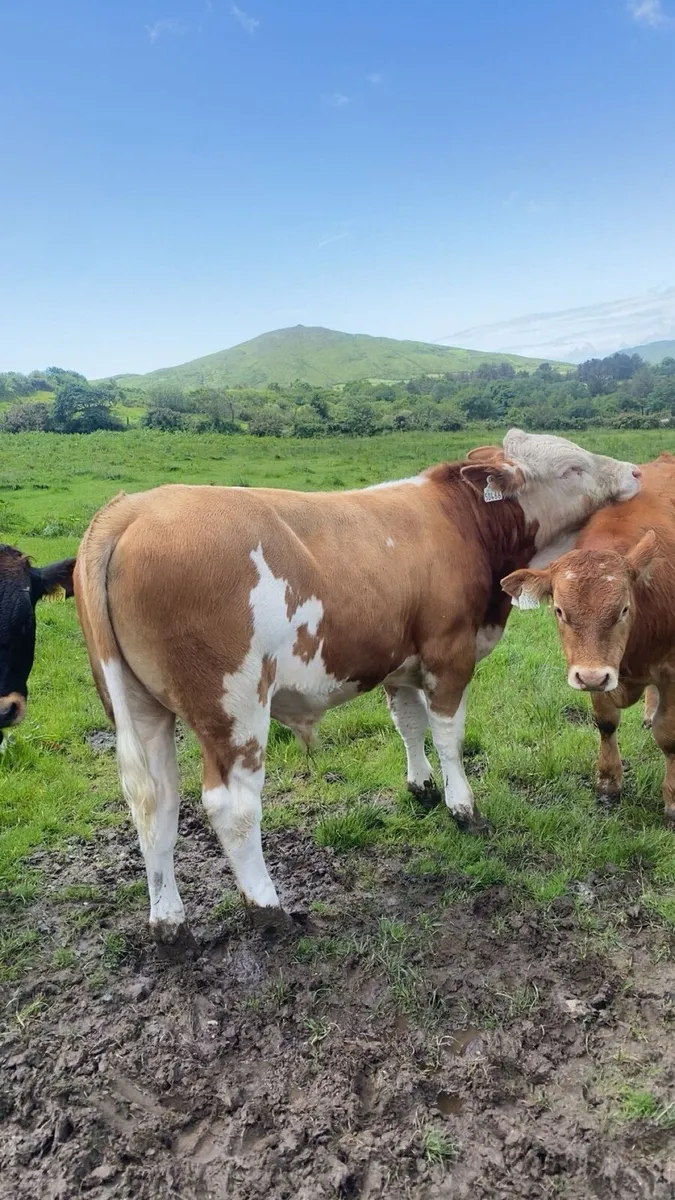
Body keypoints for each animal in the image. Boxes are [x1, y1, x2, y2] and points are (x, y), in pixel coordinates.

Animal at [73, 429, 641, 943]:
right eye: (571, 468)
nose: (635, 471)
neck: (462, 522)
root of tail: (133, 508)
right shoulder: (449, 655)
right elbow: (449, 736)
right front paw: (462, 807)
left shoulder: (399, 662)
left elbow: (409, 725)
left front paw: (421, 787)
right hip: (233, 706)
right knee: (230, 806)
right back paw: (269, 908)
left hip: (140, 705)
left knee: (156, 802)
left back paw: (169, 920)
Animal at [502, 452, 675, 825]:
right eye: (559, 611)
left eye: (623, 609)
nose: (593, 676)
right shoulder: (592, 669)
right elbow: (606, 723)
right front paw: (609, 782)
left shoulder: (671, 670)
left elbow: (669, 735)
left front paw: (672, 799)